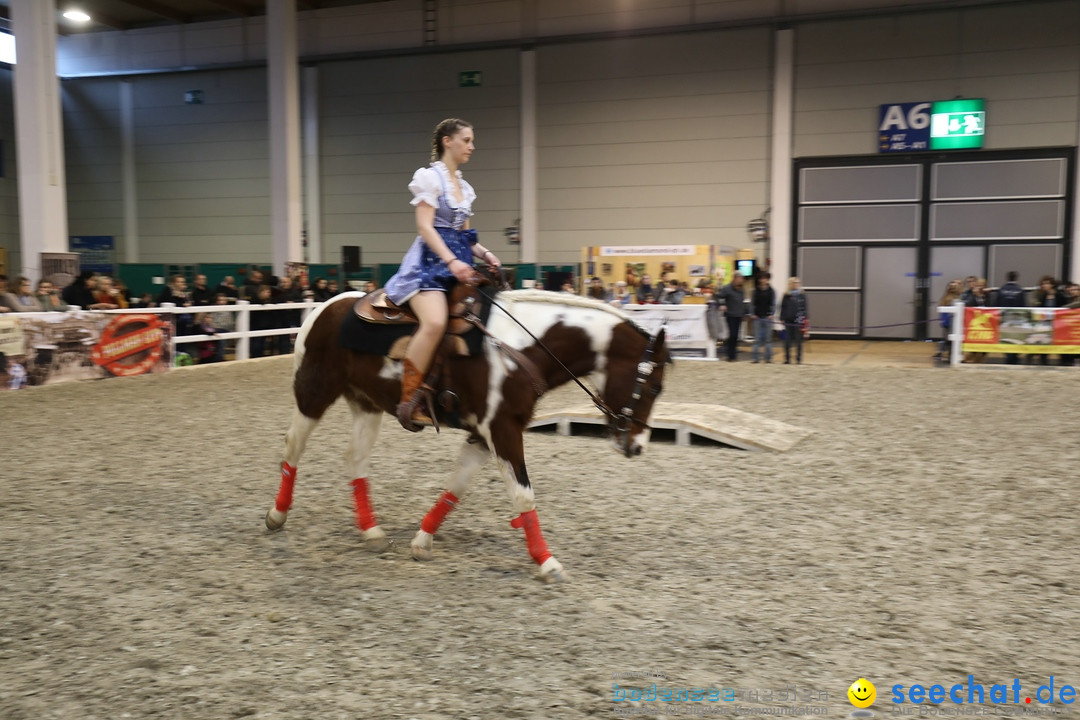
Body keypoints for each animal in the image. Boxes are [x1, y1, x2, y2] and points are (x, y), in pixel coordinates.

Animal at [265, 289, 665, 582]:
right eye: (654, 387)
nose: (637, 446)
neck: (519, 350)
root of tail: (323, 307)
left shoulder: (482, 436)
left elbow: (455, 487)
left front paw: (422, 540)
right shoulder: (503, 430)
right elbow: (523, 496)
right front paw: (547, 562)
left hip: (366, 403)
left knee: (355, 460)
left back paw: (371, 531)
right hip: (314, 392)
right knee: (293, 446)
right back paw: (277, 515)